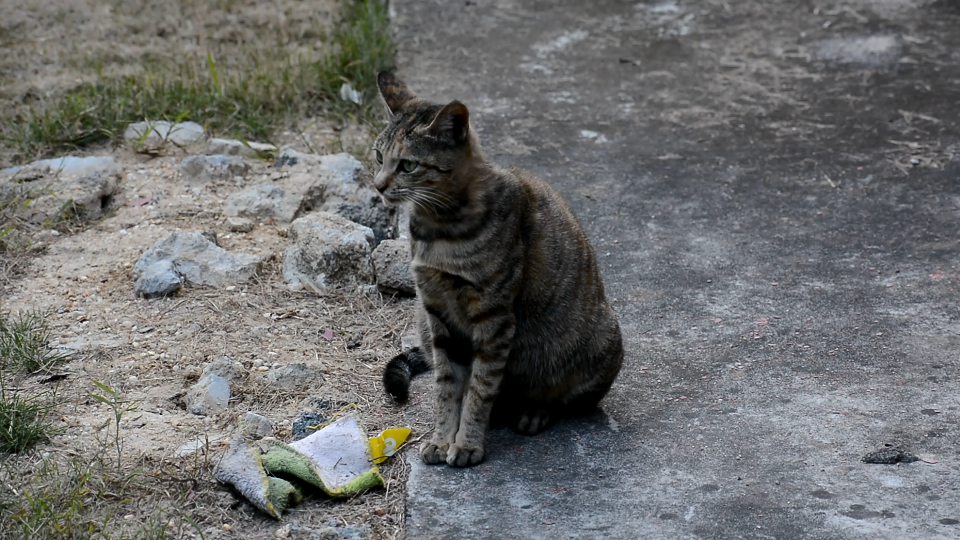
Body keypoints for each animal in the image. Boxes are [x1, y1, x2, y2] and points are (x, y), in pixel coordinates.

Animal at [376, 73, 624, 468]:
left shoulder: (493, 319)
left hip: (600, 342)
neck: (438, 230)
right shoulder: (437, 316)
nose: (378, 185)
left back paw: (534, 411)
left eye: (408, 165)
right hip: (424, 325)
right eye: (378, 156)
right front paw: (443, 438)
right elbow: (447, 389)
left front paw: (467, 443)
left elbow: (480, 389)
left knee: (566, 400)